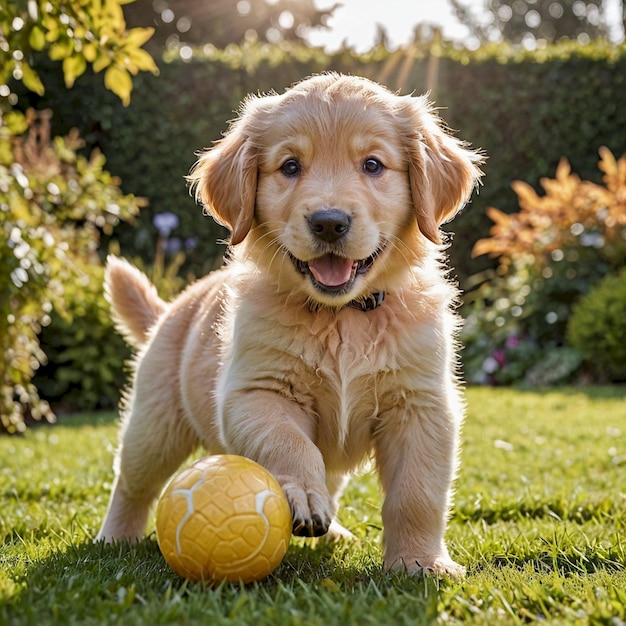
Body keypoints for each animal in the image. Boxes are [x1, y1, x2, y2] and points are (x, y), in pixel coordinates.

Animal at [96, 72, 482, 576]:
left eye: (373, 165)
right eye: (291, 166)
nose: (329, 222)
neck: (343, 315)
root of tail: (171, 309)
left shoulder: (421, 405)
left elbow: (417, 493)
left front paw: (420, 562)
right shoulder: (256, 392)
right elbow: (289, 443)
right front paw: (300, 493)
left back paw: (334, 530)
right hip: (154, 423)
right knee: (132, 483)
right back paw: (113, 539)